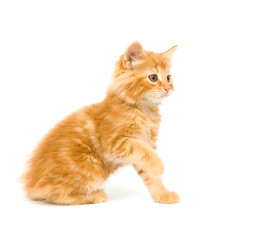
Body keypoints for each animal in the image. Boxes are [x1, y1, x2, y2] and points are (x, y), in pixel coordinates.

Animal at [22, 41, 180, 204]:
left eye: (168, 78)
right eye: (153, 78)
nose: (168, 88)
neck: (144, 111)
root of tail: (31, 184)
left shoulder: (147, 143)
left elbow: (150, 172)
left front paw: (162, 194)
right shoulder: (115, 143)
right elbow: (144, 152)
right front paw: (159, 166)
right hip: (92, 165)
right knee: (56, 194)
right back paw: (96, 195)